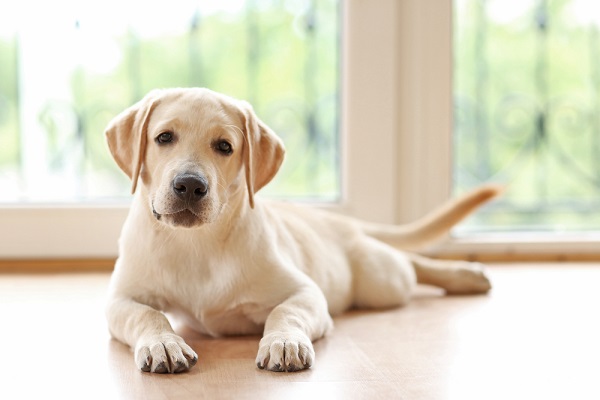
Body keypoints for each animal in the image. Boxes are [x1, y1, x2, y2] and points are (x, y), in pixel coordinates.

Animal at [105, 87, 500, 372]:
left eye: (224, 146)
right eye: (164, 138)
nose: (189, 185)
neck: (196, 244)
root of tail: (335, 220)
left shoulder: (306, 291)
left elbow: (284, 312)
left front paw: (283, 341)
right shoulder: (121, 299)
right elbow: (148, 313)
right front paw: (163, 343)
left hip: (382, 282)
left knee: (408, 263)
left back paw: (466, 275)